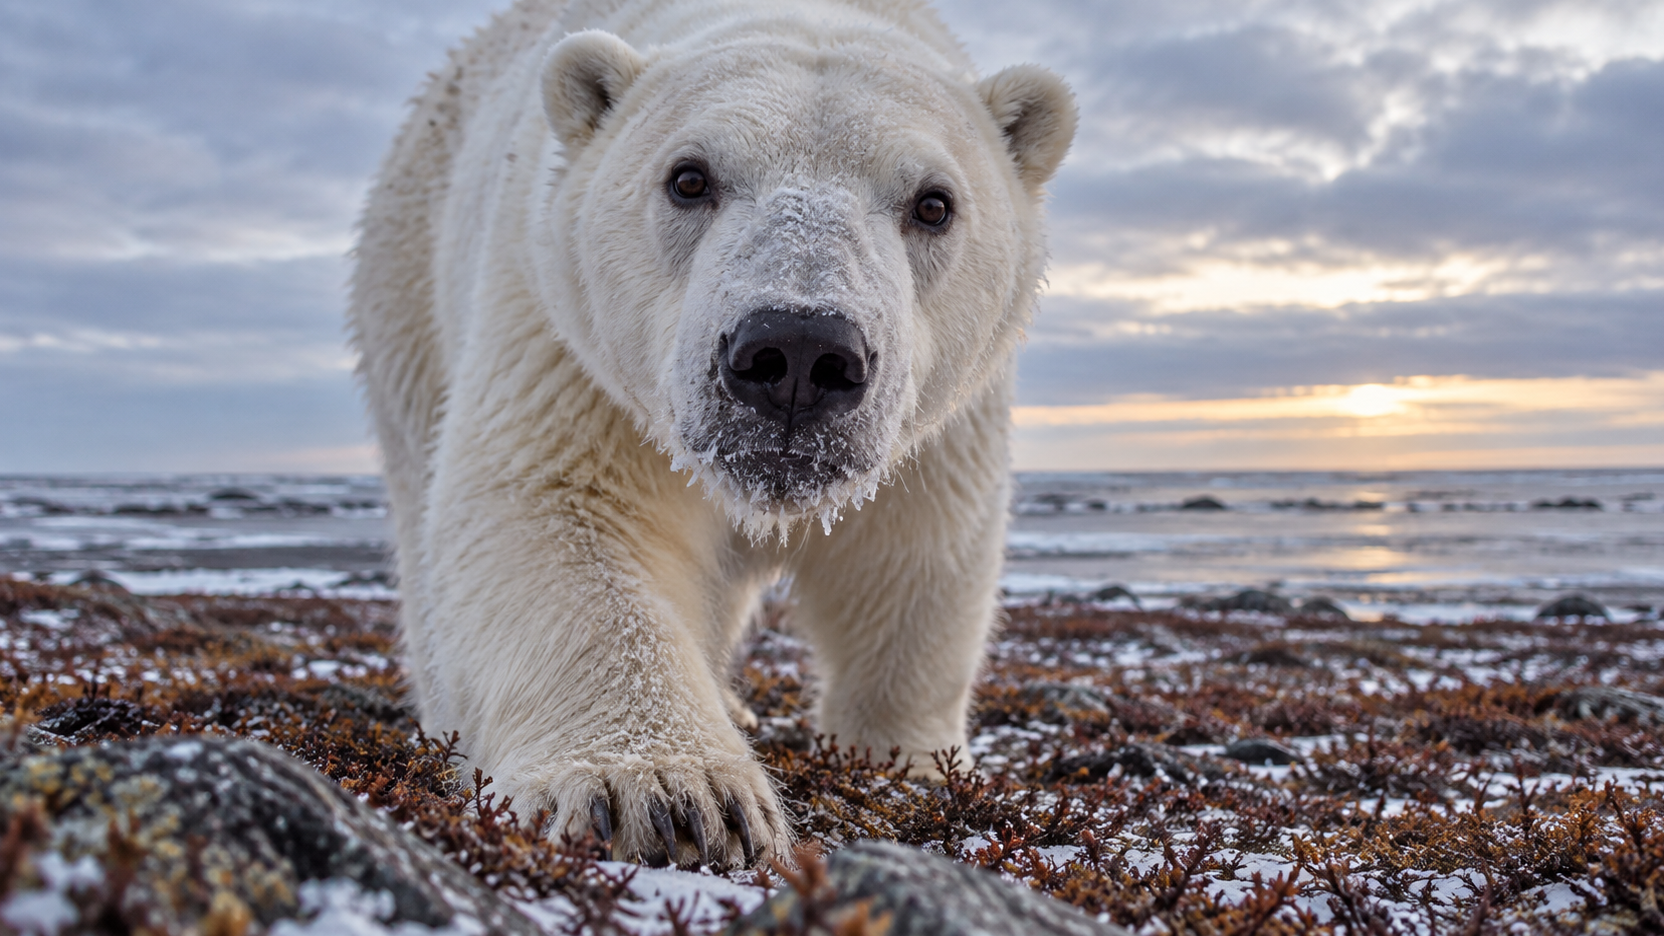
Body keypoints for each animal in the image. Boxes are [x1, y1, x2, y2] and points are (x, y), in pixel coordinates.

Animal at [348, 0, 1075, 869]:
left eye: (935, 202)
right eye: (688, 177)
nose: (798, 352)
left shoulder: (943, 421)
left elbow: (911, 553)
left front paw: (910, 764)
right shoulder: (562, 341)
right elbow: (554, 510)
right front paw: (666, 795)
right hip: (407, 289)